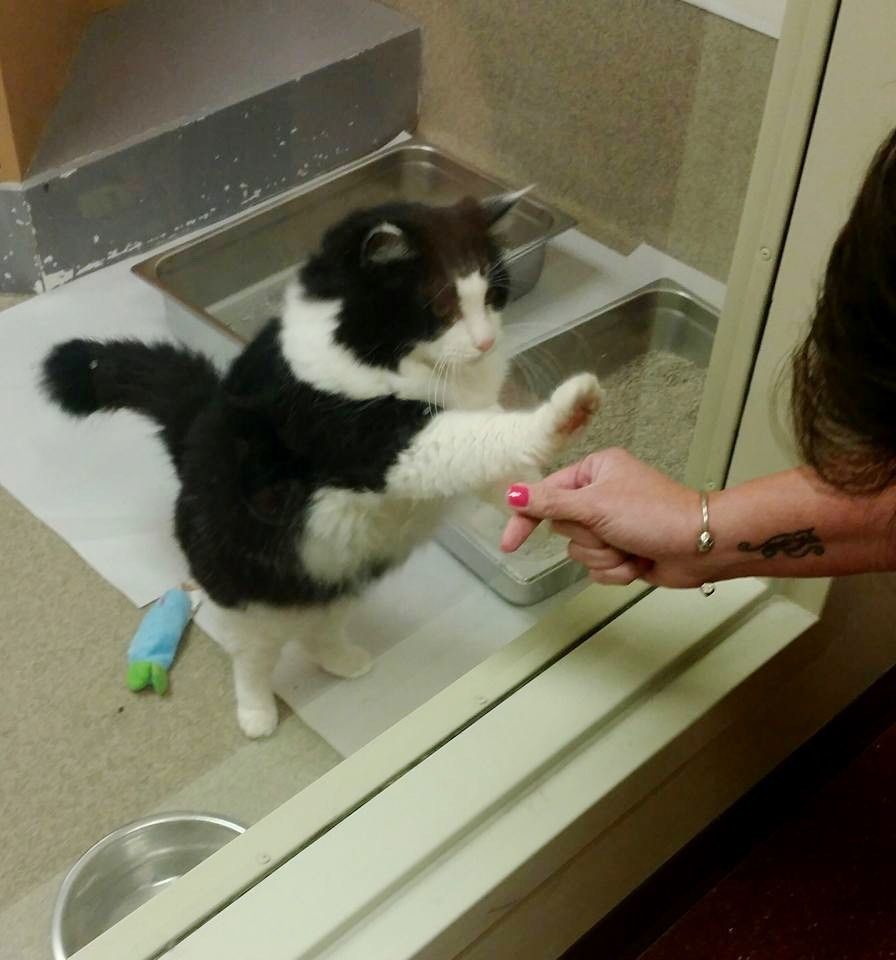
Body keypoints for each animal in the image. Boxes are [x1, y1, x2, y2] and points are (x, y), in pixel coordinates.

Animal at [43, 193, 600, 736]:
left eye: (492, 297)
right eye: (443, 305)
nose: (486, 341)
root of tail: (192, 432)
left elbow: (498, 464)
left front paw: (543, 509)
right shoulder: (383, 440)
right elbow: (484, 437)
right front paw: (568, 410)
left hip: (344, 576)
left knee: (318, 631)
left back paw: (344, 661)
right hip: (248, 599)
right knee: (252, 659)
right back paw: (257, 716)